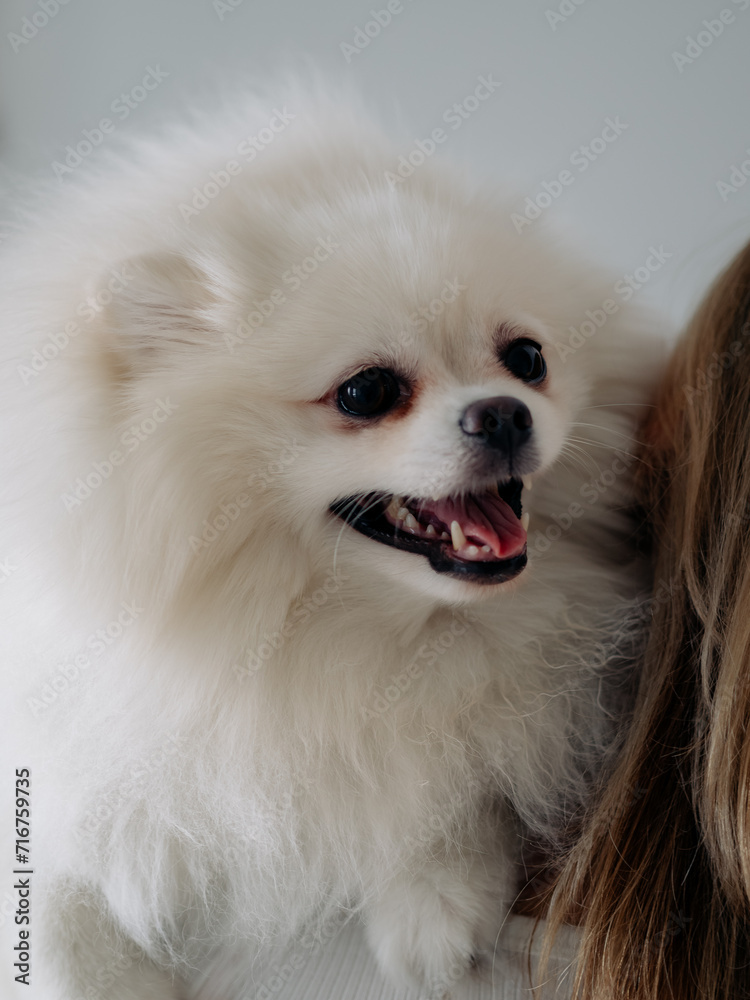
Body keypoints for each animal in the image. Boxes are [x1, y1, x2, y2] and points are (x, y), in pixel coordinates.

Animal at [2, 88, 668, 1000]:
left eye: (527, 358)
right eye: (366, 392)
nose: (504, 412)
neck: (322, 636)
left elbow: (443, 774)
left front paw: (434, 890)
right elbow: (60, 889)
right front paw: (108, 978)